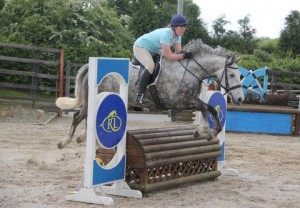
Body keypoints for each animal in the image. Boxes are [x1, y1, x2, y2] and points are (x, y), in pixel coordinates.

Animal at [55, 39, 244, 149]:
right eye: (232, 75)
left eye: (240, 75)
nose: (240, 99)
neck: (191, 70)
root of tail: (90, 67)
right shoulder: (180, 102)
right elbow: (207, 108)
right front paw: (205, 130)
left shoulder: (190, 100)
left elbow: (208, 109)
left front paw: (206, 132)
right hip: (94, 98)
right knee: (78, 116)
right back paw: (64, 142)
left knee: (85, 117)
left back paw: (81, 138)